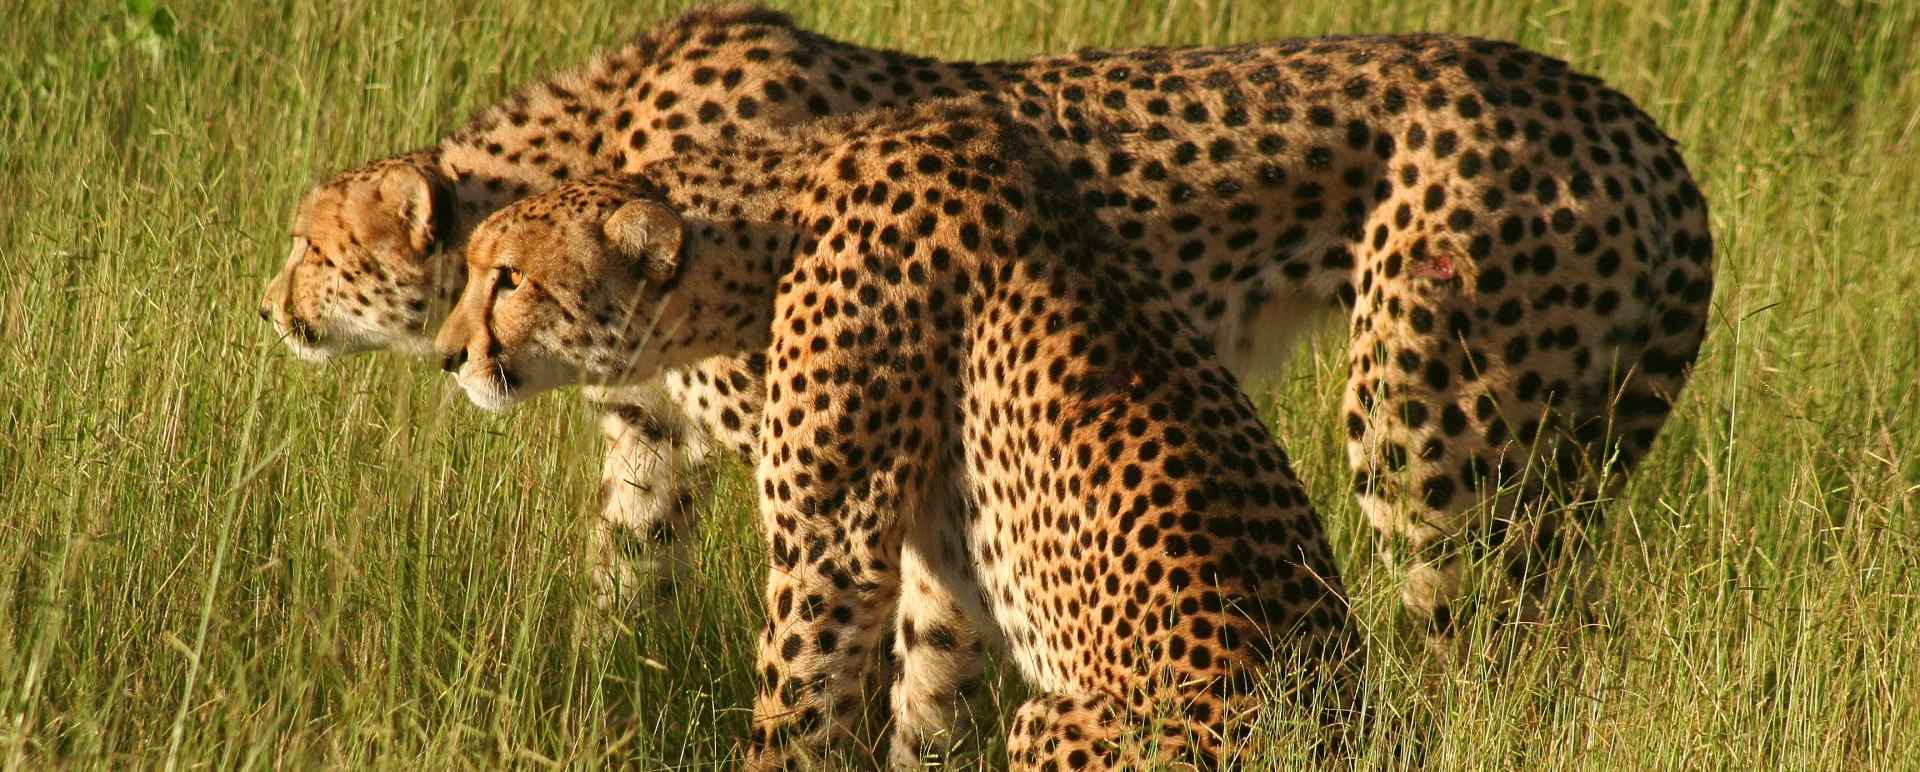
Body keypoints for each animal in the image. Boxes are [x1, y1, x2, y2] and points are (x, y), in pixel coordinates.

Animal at [258, 4, 1713, 646]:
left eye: (311, 245)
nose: (269, 304)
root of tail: (1625, 116)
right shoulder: (654, 445)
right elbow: (627, 578)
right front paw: (616, 678)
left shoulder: (820, 439)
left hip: (1427, 429)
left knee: (1481, 644)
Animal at [434, 101, 1363, 770]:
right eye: (478, 268)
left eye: (507, 277)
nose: (447, 356)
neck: (778, 221)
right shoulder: (941, 562)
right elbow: (932, 693)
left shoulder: (829, 545)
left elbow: (796, 701)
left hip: (1062, 722)